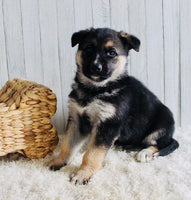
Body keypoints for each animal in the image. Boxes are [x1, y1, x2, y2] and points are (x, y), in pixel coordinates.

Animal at [49, 27, 179, 184]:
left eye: (112, 53)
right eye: (89, 49)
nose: (96, 67)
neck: (95, 90)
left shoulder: (107, 125)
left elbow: (92, 154)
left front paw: (83, 174)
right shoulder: (77, 121)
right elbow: (67, 144)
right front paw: (59, 161)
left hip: (161, 125)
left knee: (162, 143)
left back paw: (145, 153)